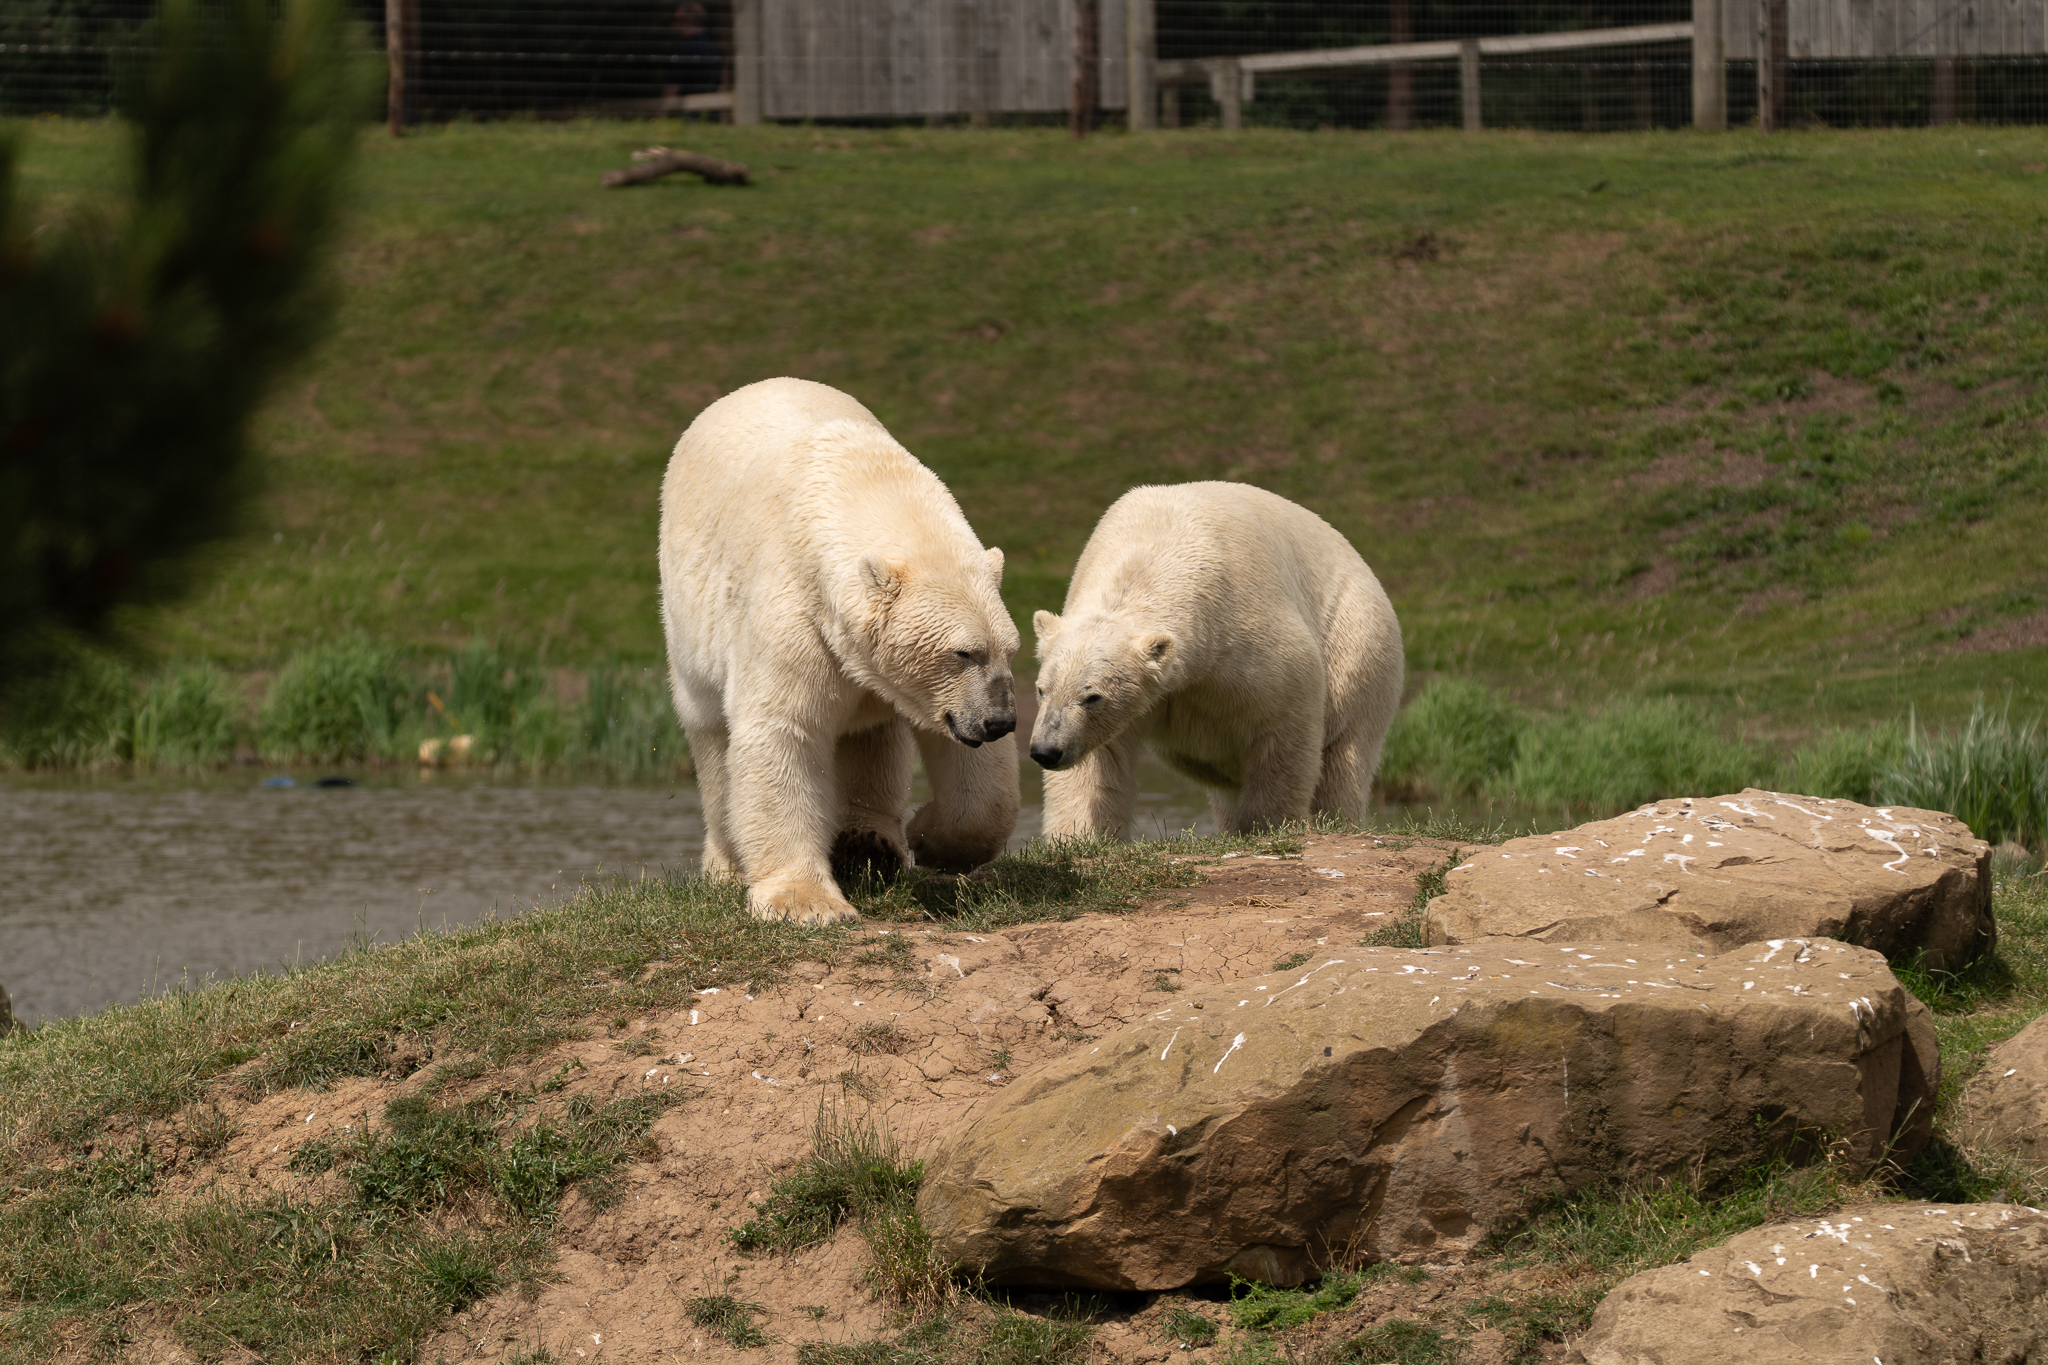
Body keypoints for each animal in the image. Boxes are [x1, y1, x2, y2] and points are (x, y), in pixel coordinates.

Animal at [658, 378, 1021, 924]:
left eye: (1009, 650)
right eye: (963, 652)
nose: (999, 721)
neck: (859, 477)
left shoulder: (922, 689)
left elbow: (961, 755)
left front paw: (929, 838)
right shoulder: (795, 616)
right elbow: (783, 729)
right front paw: (805, 902)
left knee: (870, 735)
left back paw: (868, 844)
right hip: (686, 625)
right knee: (711, 736)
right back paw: (729, 865)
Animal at [1029, 481, 1402, 838]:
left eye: (1092, 697)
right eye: (1042, 690)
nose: (1045, 751)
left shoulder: (1245, 634)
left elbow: (1284, 728)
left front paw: (1266, 825)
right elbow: (1096, 764)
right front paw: (1080, 837)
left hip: (1356, 640)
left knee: (1343, 756)